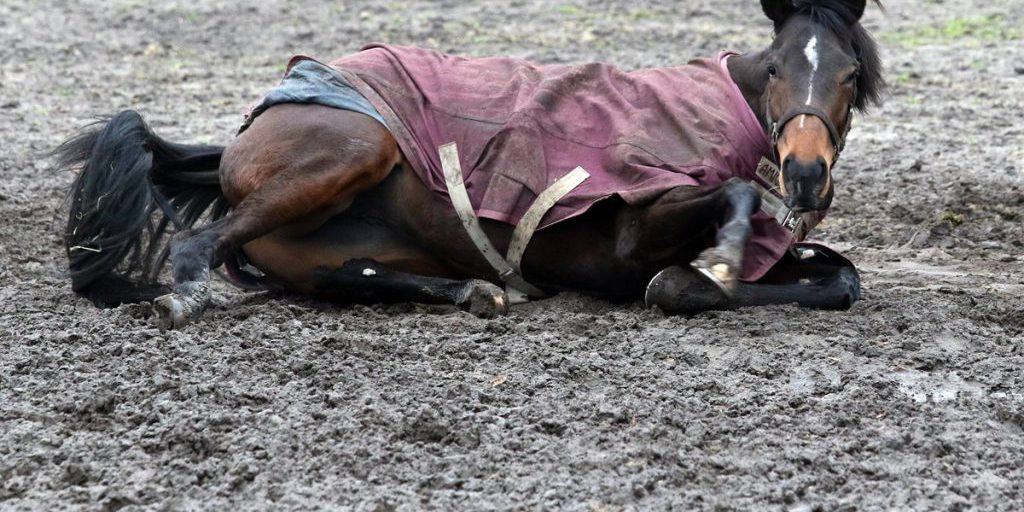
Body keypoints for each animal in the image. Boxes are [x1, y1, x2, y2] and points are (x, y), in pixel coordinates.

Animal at [56, 0, 884, 329]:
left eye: (849, 75)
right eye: (775, 69)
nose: (805, 175)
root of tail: (240, 138)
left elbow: (842, 277)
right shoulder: (629, 234)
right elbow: (725, 213)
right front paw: (704, 269)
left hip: (333, 246)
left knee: (349, 277)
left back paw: (474, 290)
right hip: (356, 150)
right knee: (198, 243)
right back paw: (175, 300)